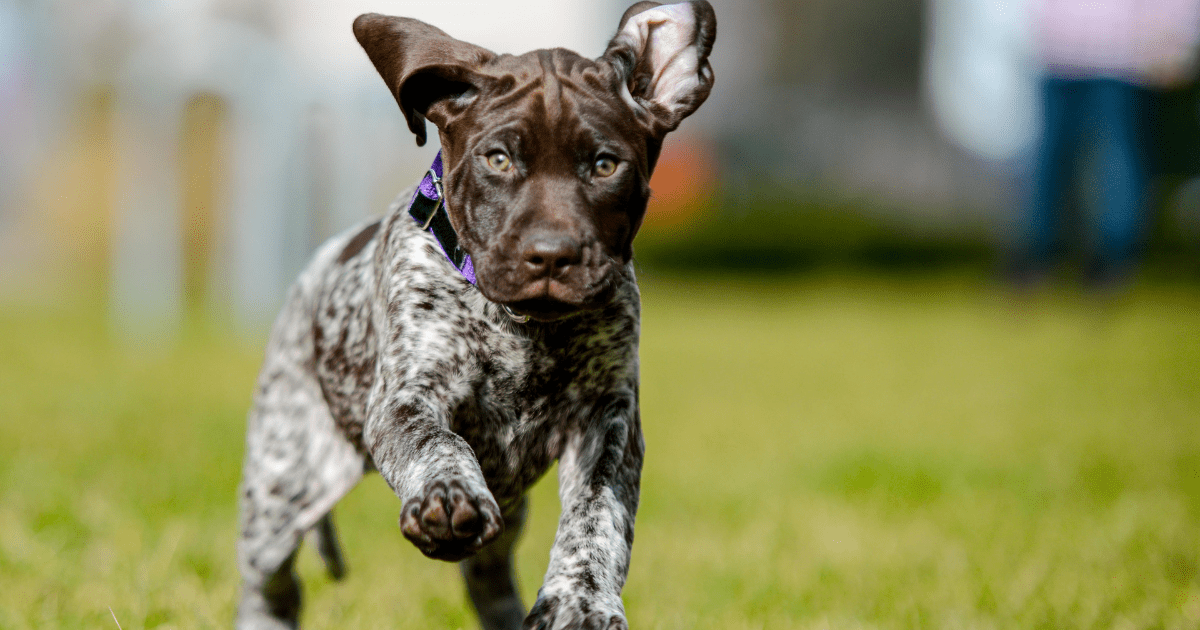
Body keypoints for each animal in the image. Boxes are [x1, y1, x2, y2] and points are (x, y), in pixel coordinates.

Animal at [238, 2, 715, 624]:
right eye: (499, 159)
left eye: (605, 165)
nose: (552, 255)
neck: (523, 328)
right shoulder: (406, 397)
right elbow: (439, 443)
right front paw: (446, 498)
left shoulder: (606, 419)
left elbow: (598, 515)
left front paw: (581, 597)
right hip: (282, 488)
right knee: (270, 583)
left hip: (507, 513)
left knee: (489, 578)